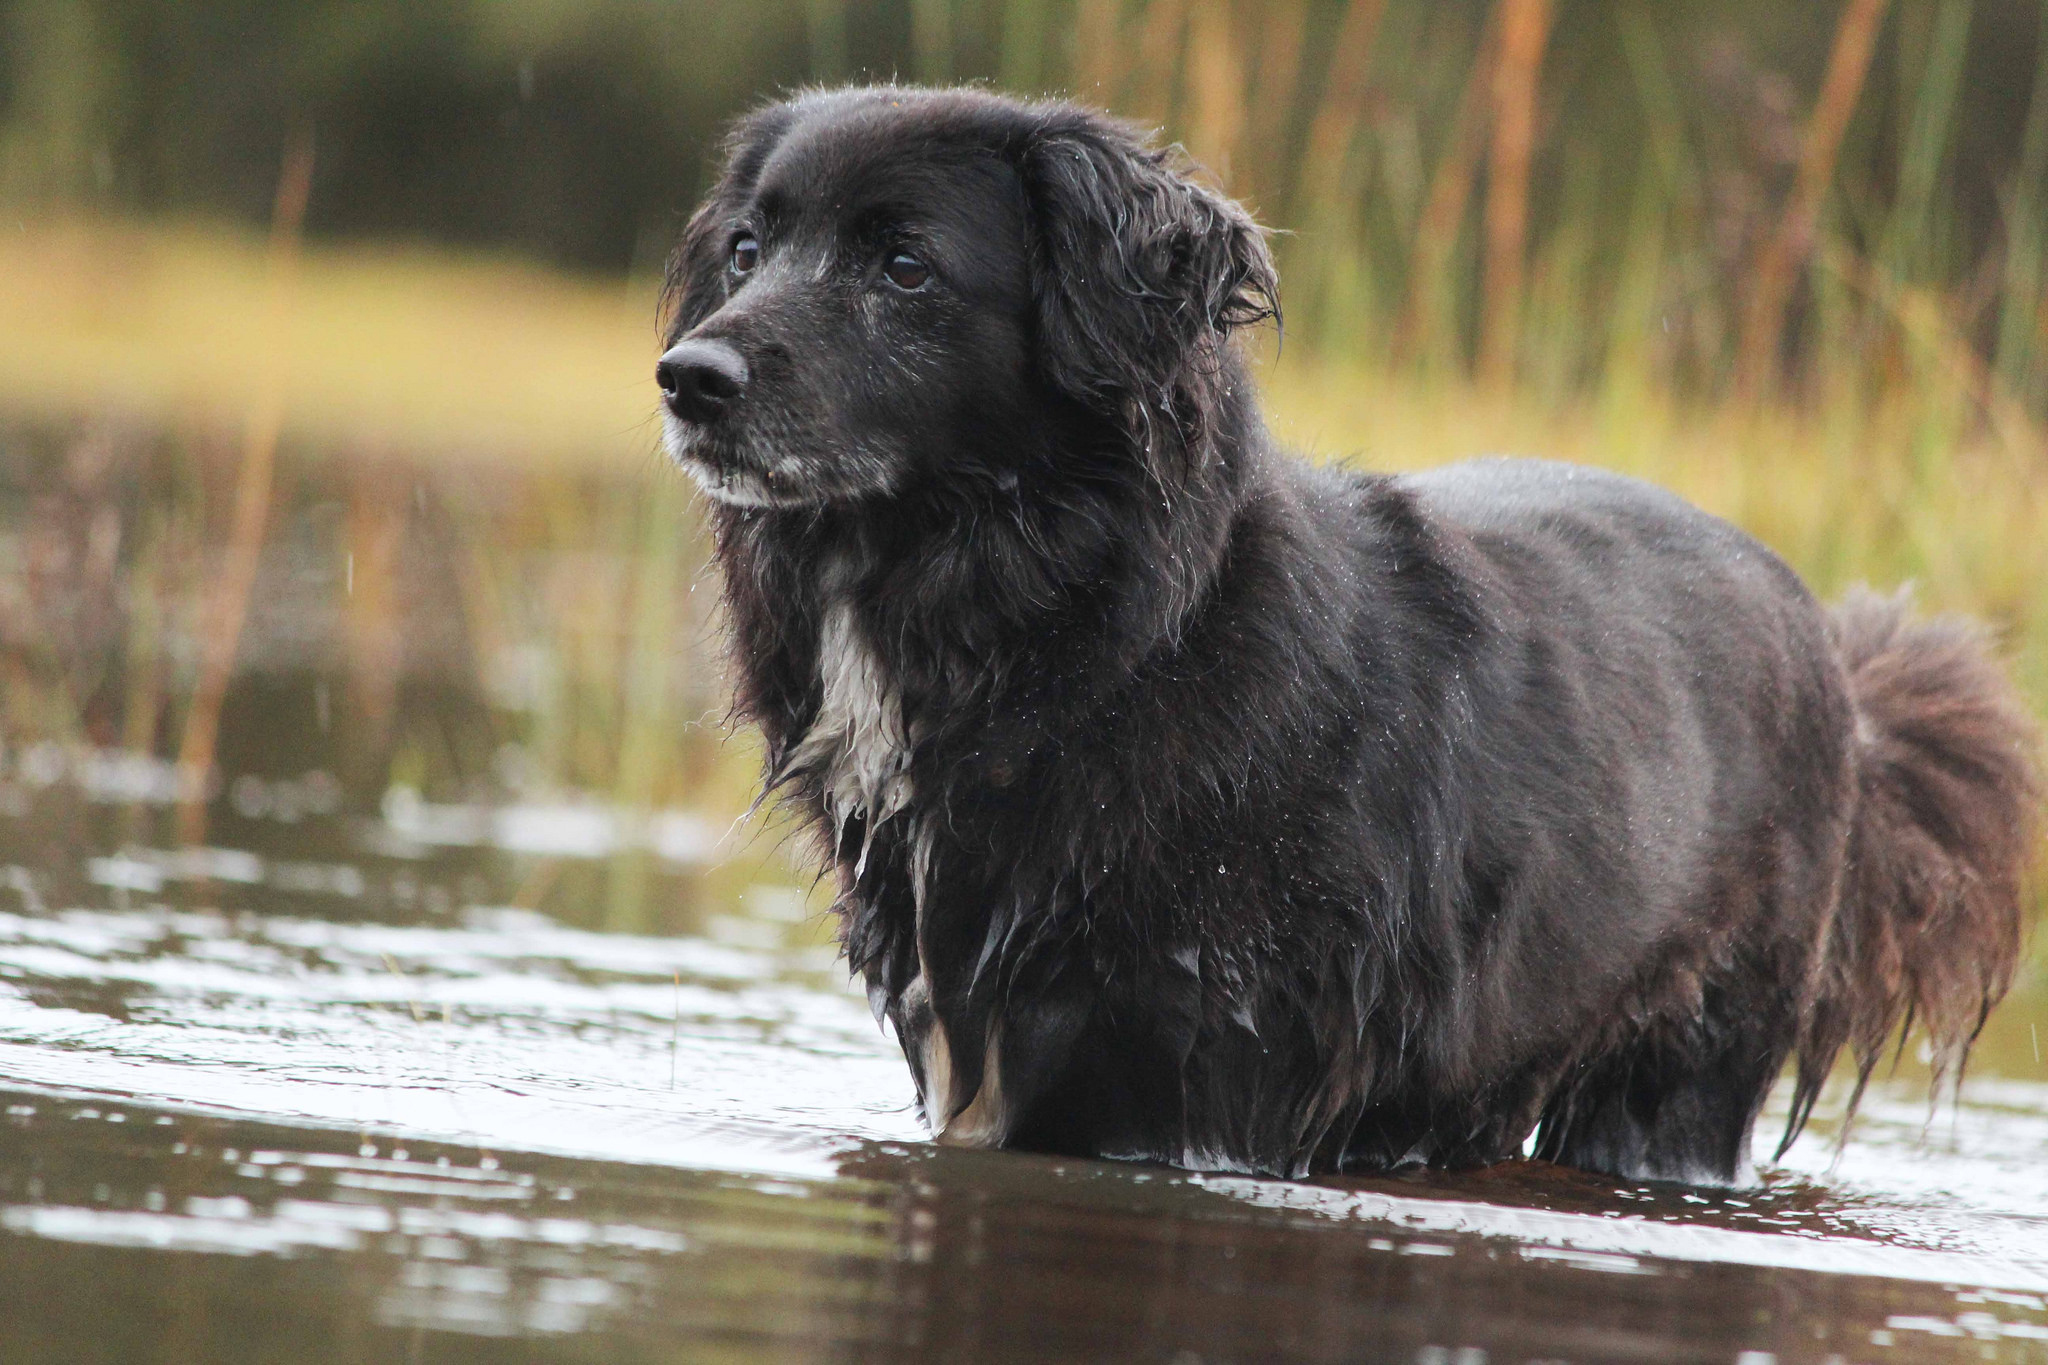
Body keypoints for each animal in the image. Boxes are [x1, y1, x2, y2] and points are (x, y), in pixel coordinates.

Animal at [655, 85, 2031, 1186]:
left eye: (904, 266)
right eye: (746, 248)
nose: (687, 378)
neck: (1093, 639)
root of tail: (1837, 665)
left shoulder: (1187, 1078)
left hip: (1683, 1066)